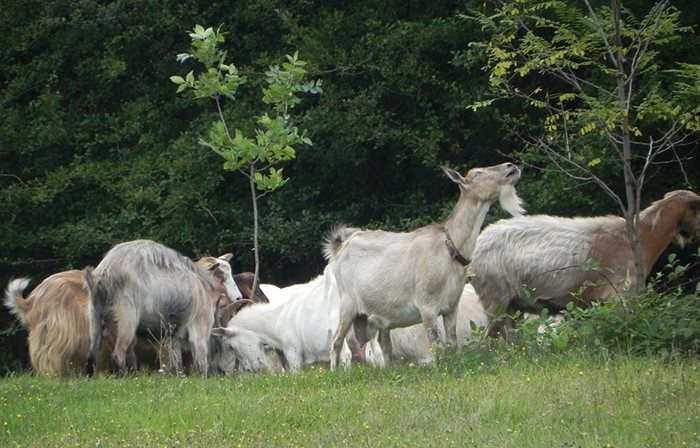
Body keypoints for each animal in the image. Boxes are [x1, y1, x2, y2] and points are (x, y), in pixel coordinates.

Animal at [84, 240, 242, 376]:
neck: (203, 286)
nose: (238, 297)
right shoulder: (199, 330)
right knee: (118, 353)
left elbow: (177, 364)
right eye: (221, 274)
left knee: (91, 356)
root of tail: (103, 273)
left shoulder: (174, 336)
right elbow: (201, 362)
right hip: (126, 319)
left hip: (95, 315)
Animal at [326, 163, 524, 370]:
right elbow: (436, 345)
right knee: (336, 341)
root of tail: (340, 247)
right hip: (347, 303)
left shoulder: (451, 307)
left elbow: (452, 343)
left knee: (384, 344)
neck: (450, 247)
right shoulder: (427, 307)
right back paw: (335, 372)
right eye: (477, 173)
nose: (511, 166)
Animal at [470, 189, 700, 336]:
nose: (695, 236)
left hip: (514, 304)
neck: (642, 236)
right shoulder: (618, 295)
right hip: (496, 298)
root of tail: (479, 244)